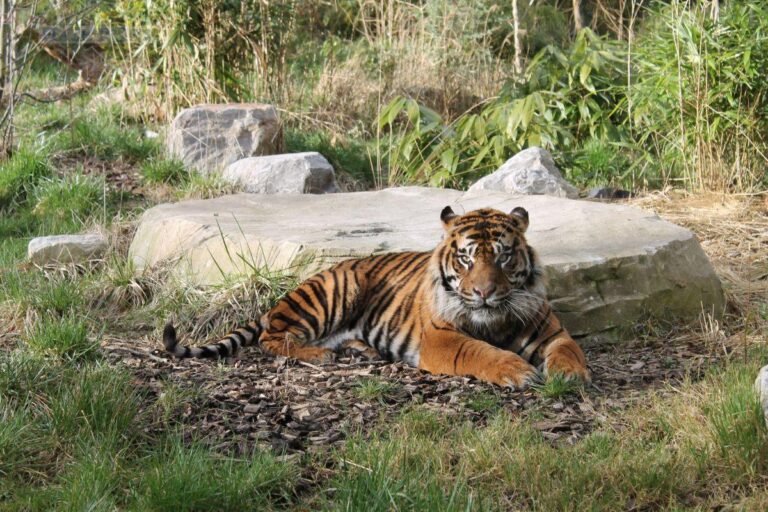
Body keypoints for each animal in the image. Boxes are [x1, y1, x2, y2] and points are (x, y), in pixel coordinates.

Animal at [163, 206, 590, 388]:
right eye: (466, 258)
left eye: (503, 256)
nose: (484, 292)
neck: (493, 320)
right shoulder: (441, 338)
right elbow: (479, 352)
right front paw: (517, 370)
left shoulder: (553, 332)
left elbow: (570, 350)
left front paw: (571, 374)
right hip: (337, 290)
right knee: (273, 337)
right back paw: (319, 354)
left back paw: (361, 351)